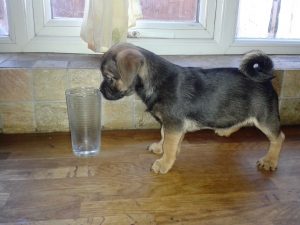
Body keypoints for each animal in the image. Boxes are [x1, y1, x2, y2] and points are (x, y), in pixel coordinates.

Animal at [99, 43, 284, 175]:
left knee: (278, 138)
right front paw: (160, 148)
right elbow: (164, 136)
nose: (100, 90)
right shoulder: (171, 125)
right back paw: (226, 130)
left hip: (264, 118)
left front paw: (164, 163)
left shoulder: (173, 123)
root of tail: (265, 78)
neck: (155, 80)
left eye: (109, 78)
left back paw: (269, 161)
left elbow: (170, 144)